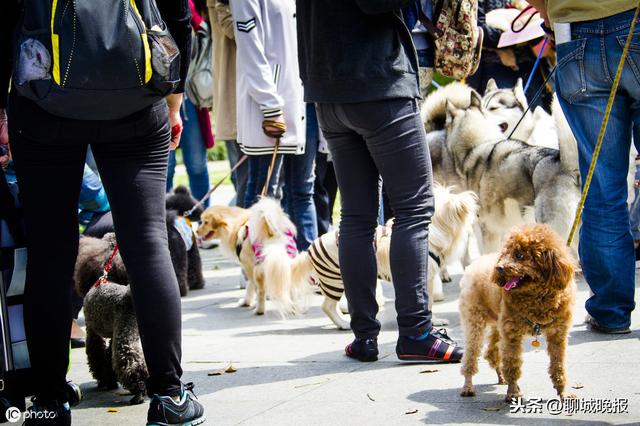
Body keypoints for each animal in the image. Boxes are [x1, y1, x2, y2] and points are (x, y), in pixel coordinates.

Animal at [460, 225, 576, 402]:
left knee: (492, 352)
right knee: (471, 355)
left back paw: (501, 377)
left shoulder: (558, 334)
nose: (499, 268)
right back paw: (468, 386)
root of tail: (476, 263)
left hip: (497, 324)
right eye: (506, 253)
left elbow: (558, 366)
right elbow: (512, 364)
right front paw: (513, 392)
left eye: (520, 255)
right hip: (474, 323)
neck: (537, 298)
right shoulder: (512, 334)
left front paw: (563, 392)